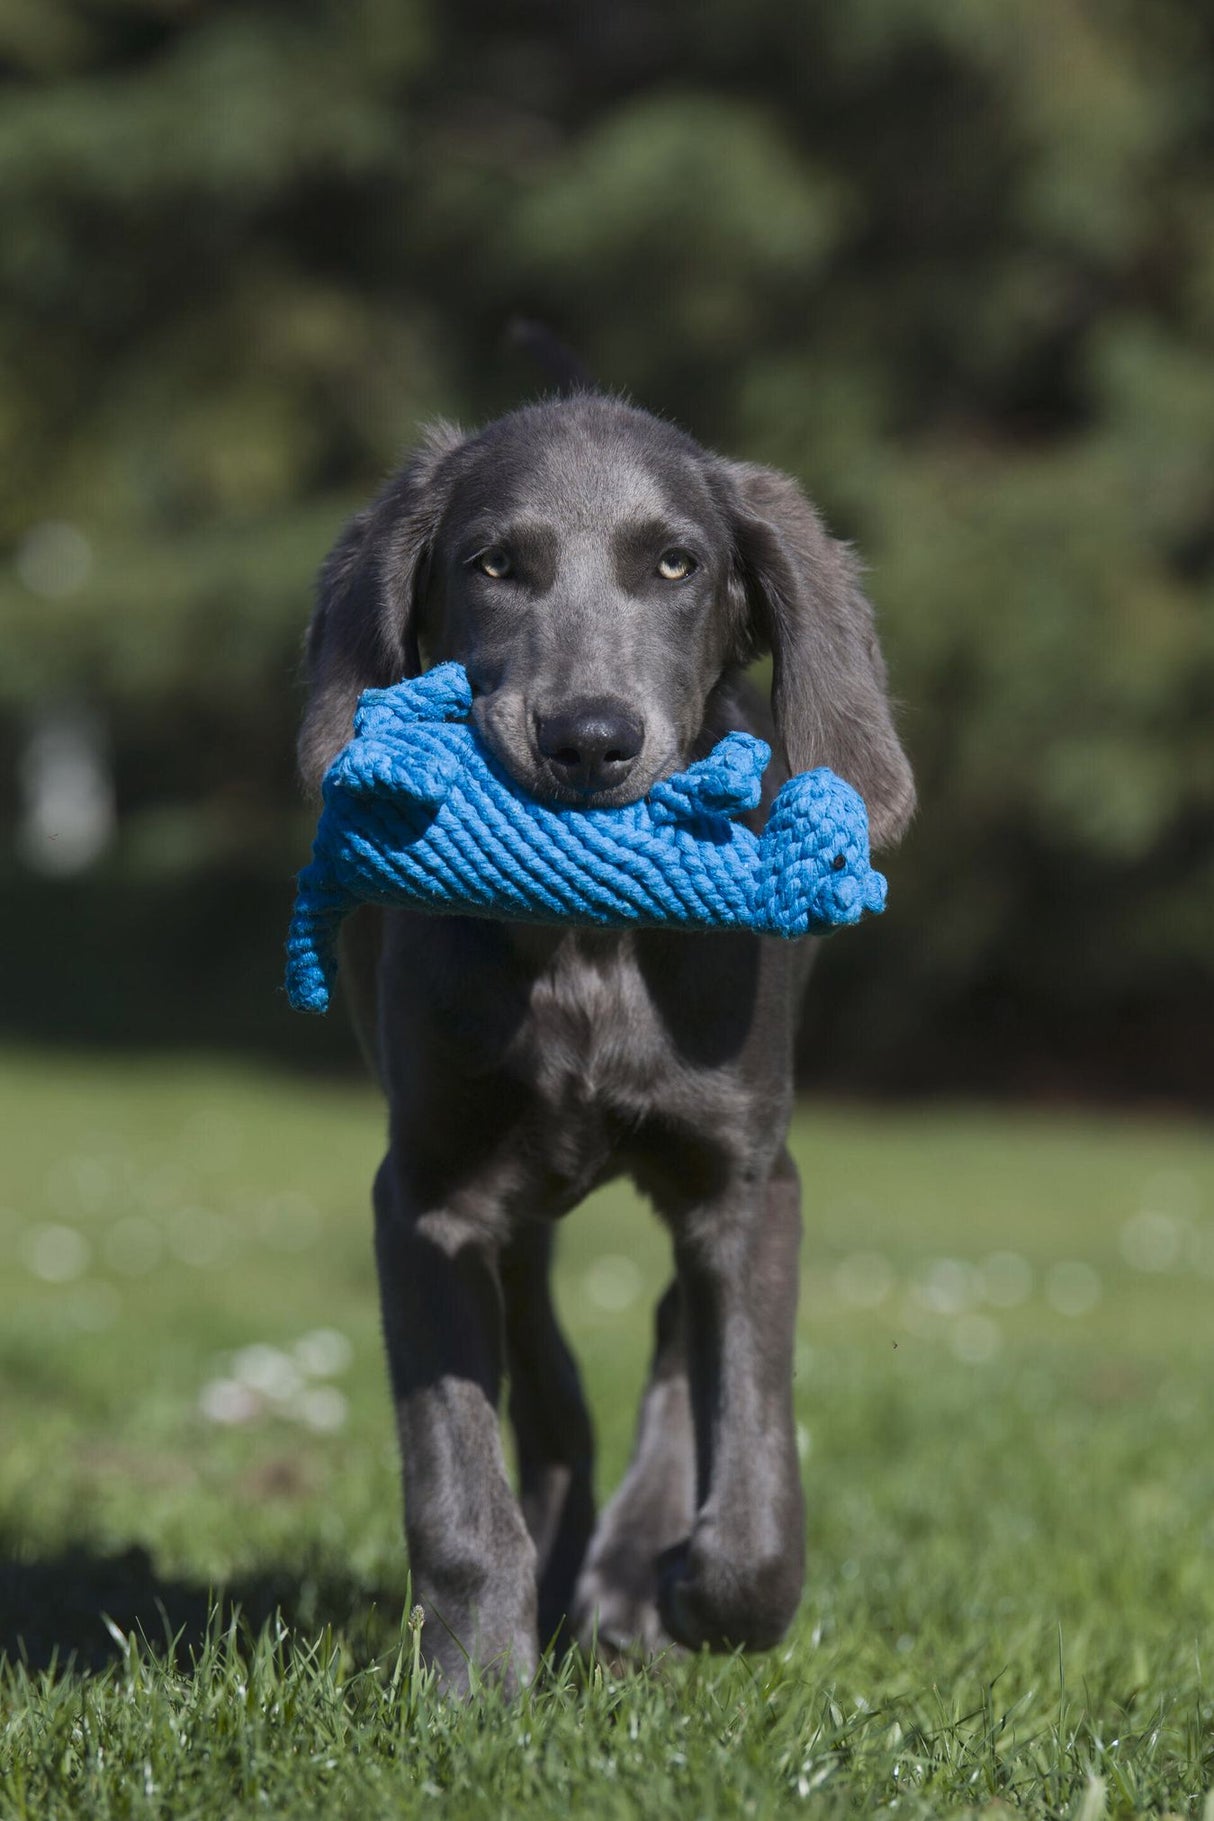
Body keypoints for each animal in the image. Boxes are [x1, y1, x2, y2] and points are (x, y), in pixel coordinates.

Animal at [298, 395, 917, 1689]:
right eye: (493, 565)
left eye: (676, 565)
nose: (586, 740)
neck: (585, 940)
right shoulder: (424, 1196)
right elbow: (455, 1478)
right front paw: (476, 1678)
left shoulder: (746, 1177)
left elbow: (755, 1482)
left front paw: (685, 1588)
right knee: (548, 1380)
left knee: (681, 1340)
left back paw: (633, 1569)